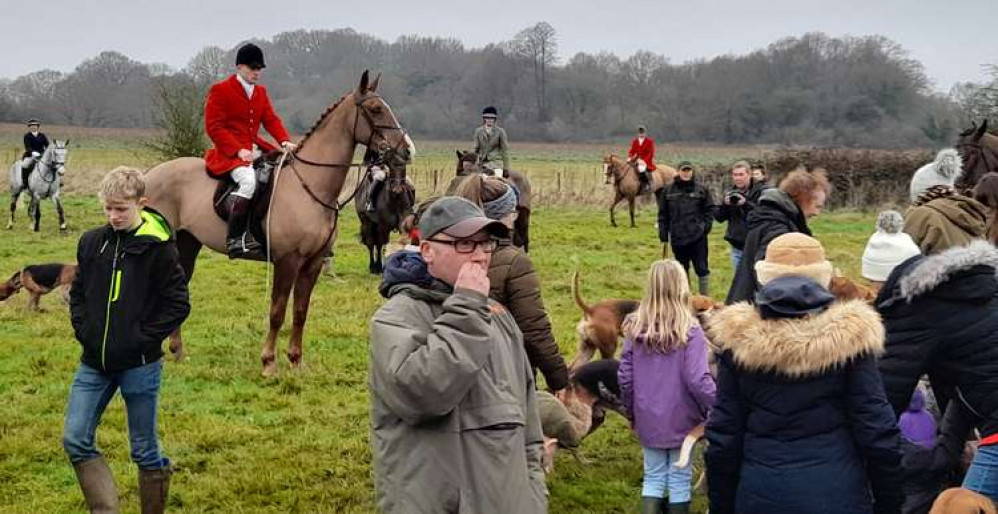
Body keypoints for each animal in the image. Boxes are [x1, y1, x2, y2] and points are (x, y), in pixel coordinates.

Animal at [143, 71, 412, 376]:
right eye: (376, 109)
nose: (406, 150)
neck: (310, 185)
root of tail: (150, 174)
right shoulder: (288, 260)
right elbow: (277, 311)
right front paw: (269, 362)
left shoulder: (313, 262)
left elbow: (300, 311)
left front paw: (296, 360)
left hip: (188, 243)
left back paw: (177, 351)